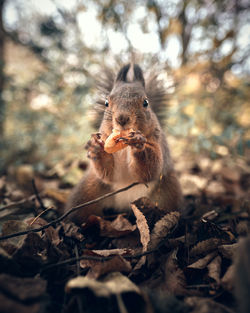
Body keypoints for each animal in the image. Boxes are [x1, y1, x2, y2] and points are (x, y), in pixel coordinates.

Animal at [64, 63, 182, 223]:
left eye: (146, 102)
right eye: (106, 103)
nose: (122, 118)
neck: (124, 145)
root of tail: (126, 207)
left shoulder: (159, 144)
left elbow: (151, 170)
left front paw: (138, 143)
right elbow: (108, 174)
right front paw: (97, 149)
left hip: (169, 192)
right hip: (86, 192)